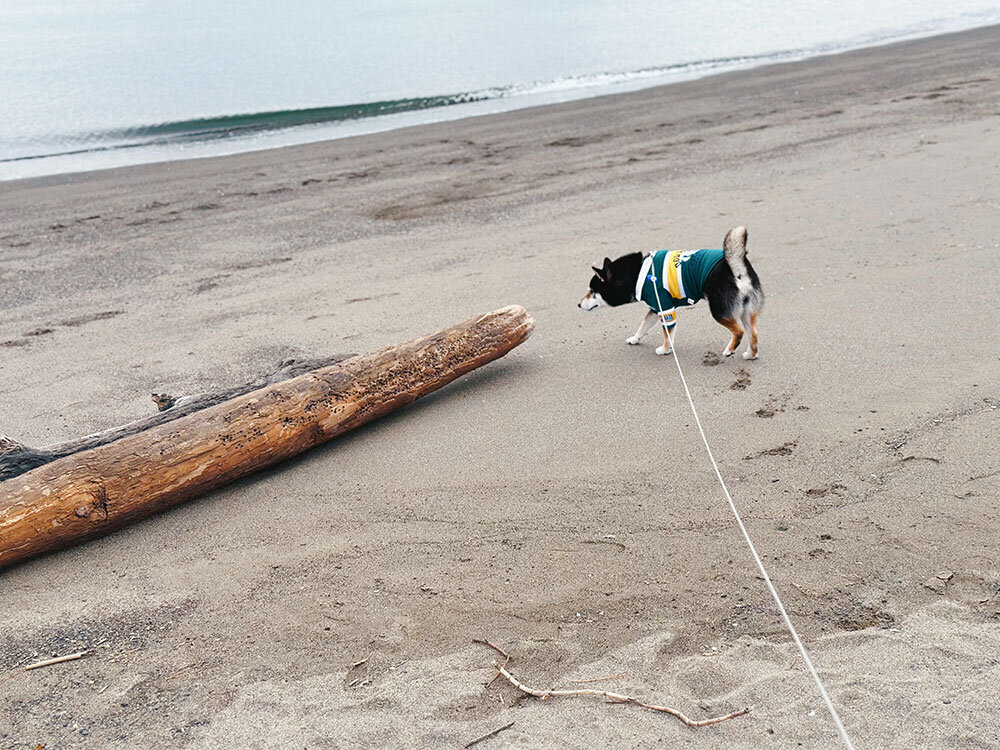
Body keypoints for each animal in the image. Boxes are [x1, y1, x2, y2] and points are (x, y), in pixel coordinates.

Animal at [580, 226, 764, 362]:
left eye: (592, 291)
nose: (578, 304)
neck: (637, 273)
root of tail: (736, 268)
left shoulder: (665, 309)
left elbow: (666, 334)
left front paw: (665, 349)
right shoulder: (656, 308)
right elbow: (644, 326)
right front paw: (635, 339)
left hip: (719, 311)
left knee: (739, 332)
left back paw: (729, 350)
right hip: (746, 311)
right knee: (753, 334)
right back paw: (751, 355)